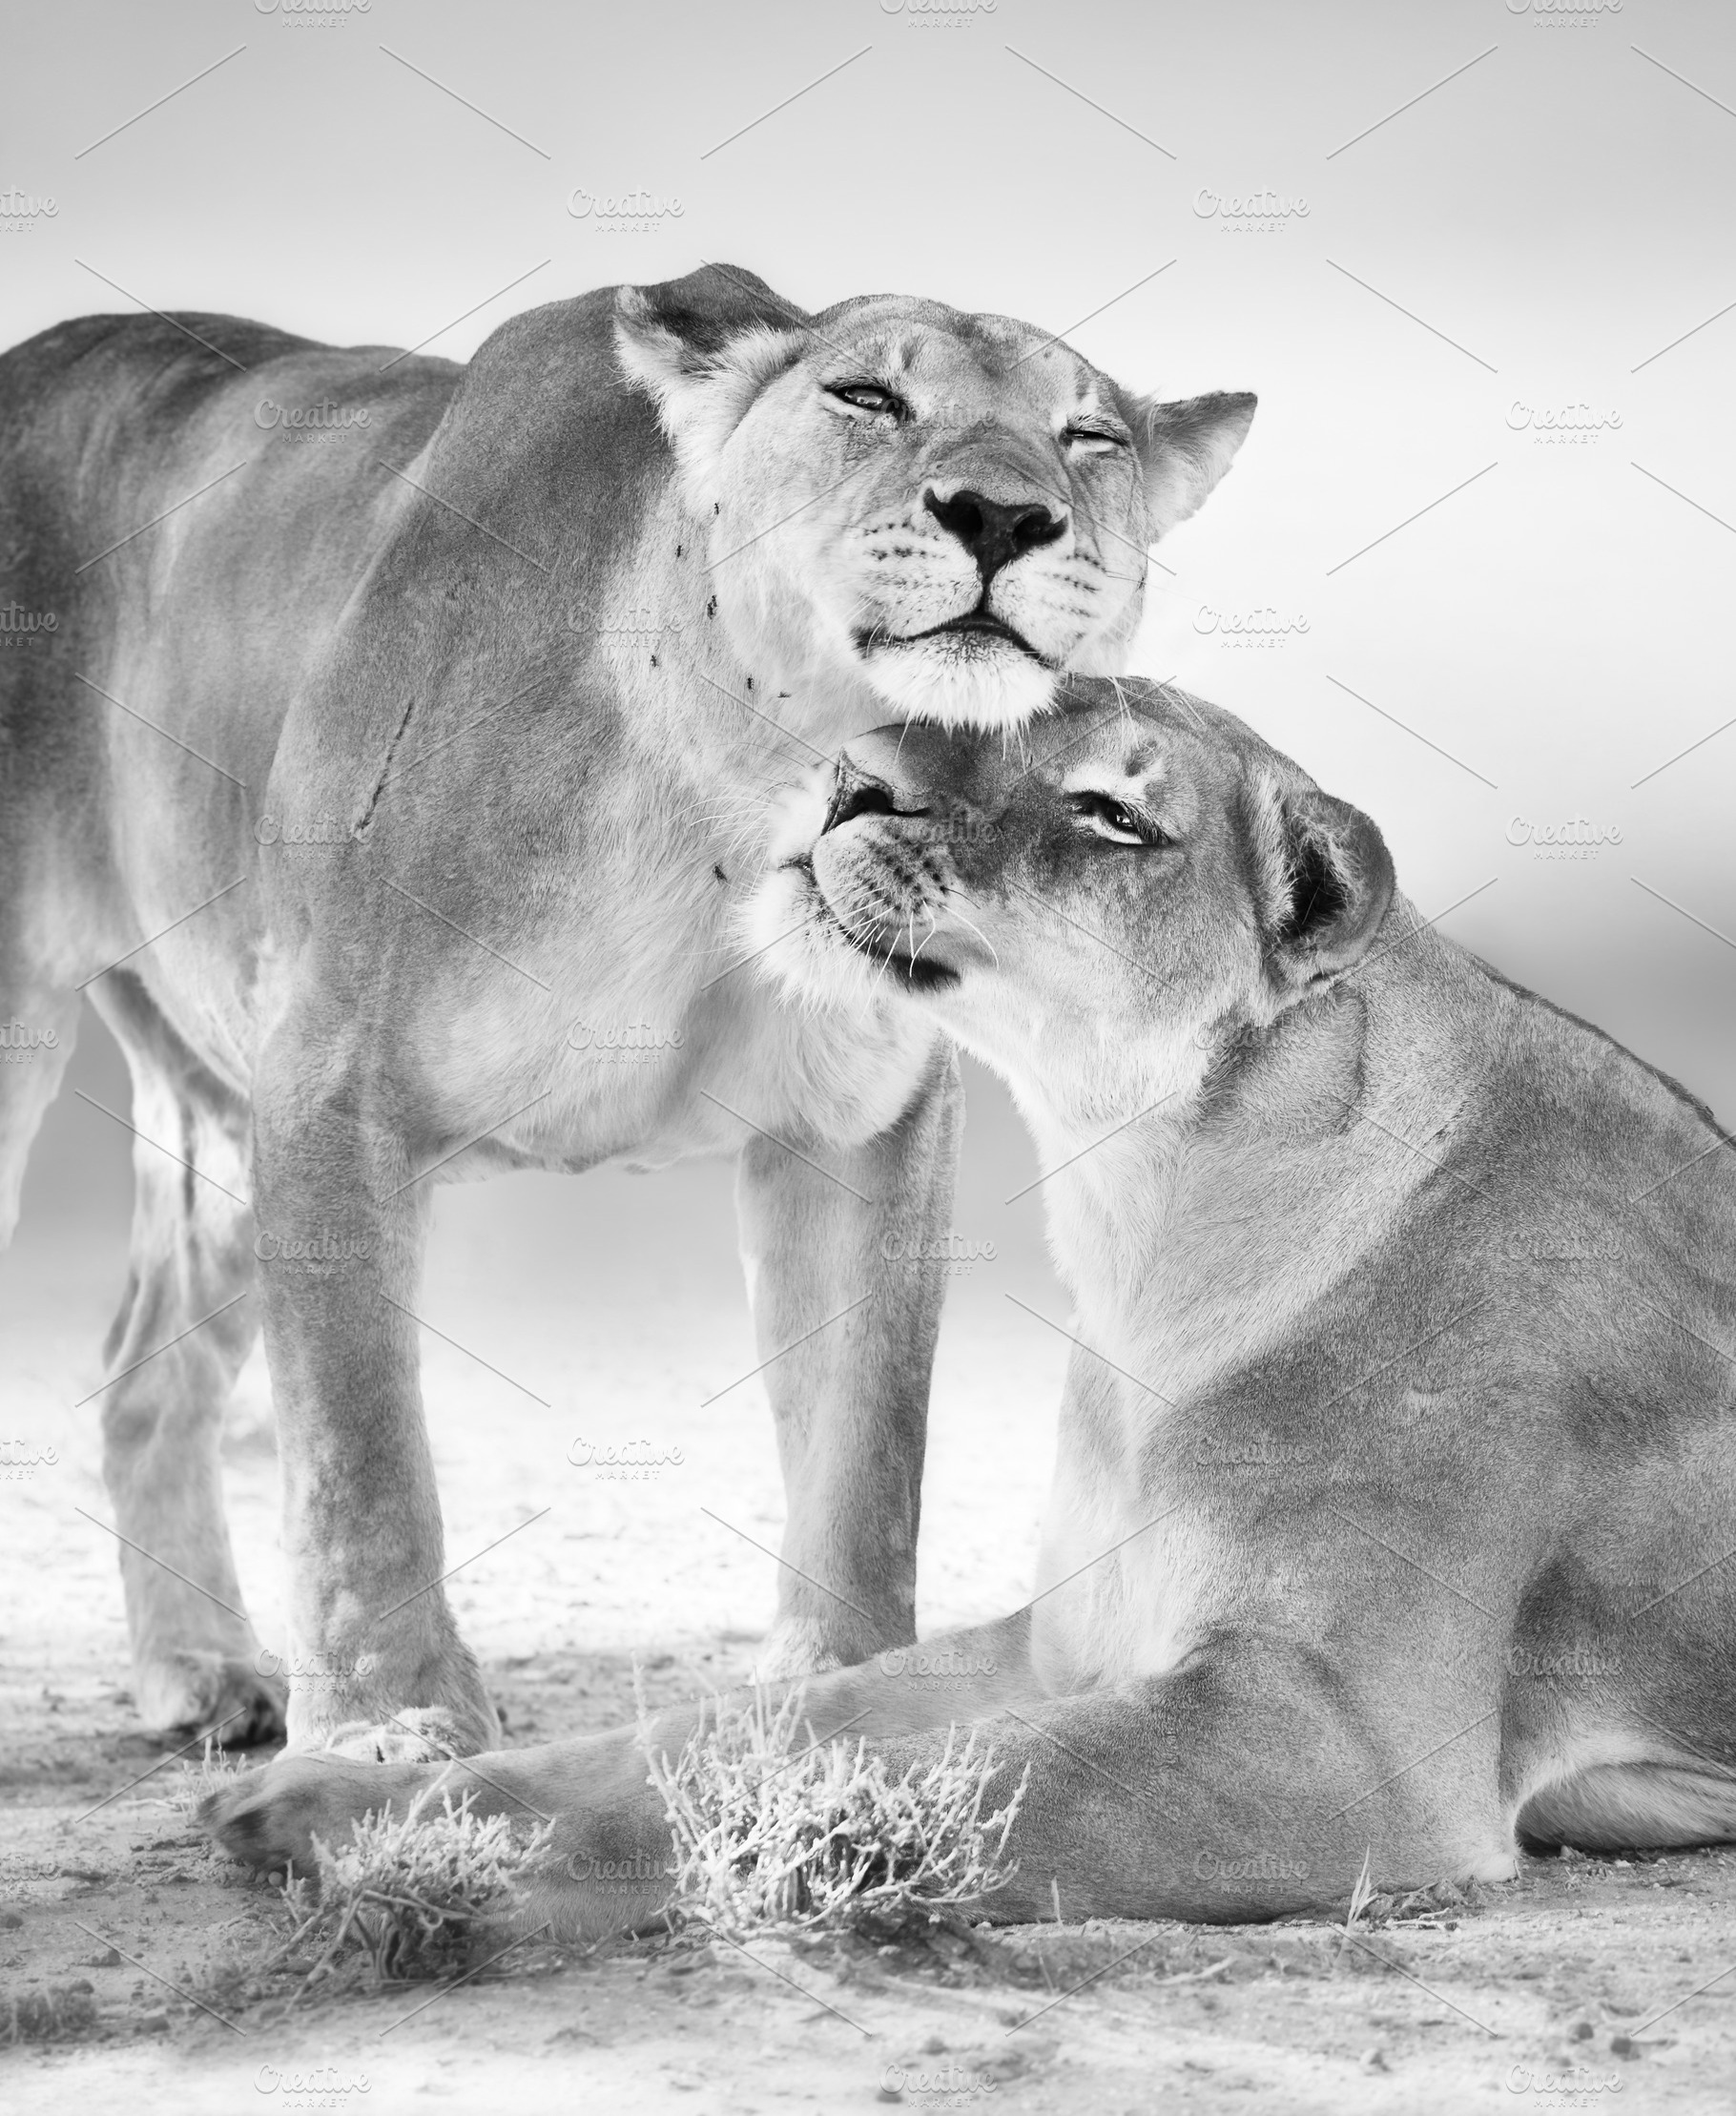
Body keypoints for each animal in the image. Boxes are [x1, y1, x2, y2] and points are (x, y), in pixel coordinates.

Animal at [0, 268, 1254, 1752]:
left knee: (145, 1378)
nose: (1003, 516)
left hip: (210, 1093)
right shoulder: (325, 1077)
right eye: (867, 396)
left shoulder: (863, 1119)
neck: (755, 788)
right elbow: (360, 1448)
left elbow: (866, 1434)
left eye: (1088, 437)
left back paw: (202, 1670)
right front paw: (387, 1725)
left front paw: (838, 1689)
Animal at [207, 675, 1736, 1927]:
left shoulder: (1336, 1749)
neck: (1144, 1232)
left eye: (1112, 810)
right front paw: (345, 1793)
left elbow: (871, 1779)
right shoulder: (1061, 1638)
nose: (849, 773)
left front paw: (423, 1861)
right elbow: (729, 1730)